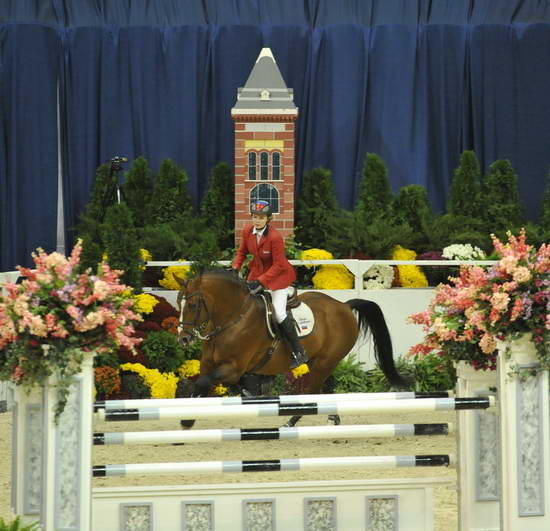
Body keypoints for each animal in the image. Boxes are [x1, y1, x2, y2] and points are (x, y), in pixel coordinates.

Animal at [177, 270, 410, 428]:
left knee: (313, 390)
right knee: (327, 386)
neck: (233, 318)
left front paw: (186, 422)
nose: (184, 339)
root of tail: (344, 305)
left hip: (324, 362)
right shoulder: (209, 364)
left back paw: (291, 421)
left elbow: (203, 382)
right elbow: (201, 384)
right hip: (320, 361)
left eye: (192, 305)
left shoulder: (233, 368)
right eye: (179, 303)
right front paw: (189, 417)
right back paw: (332, 418)